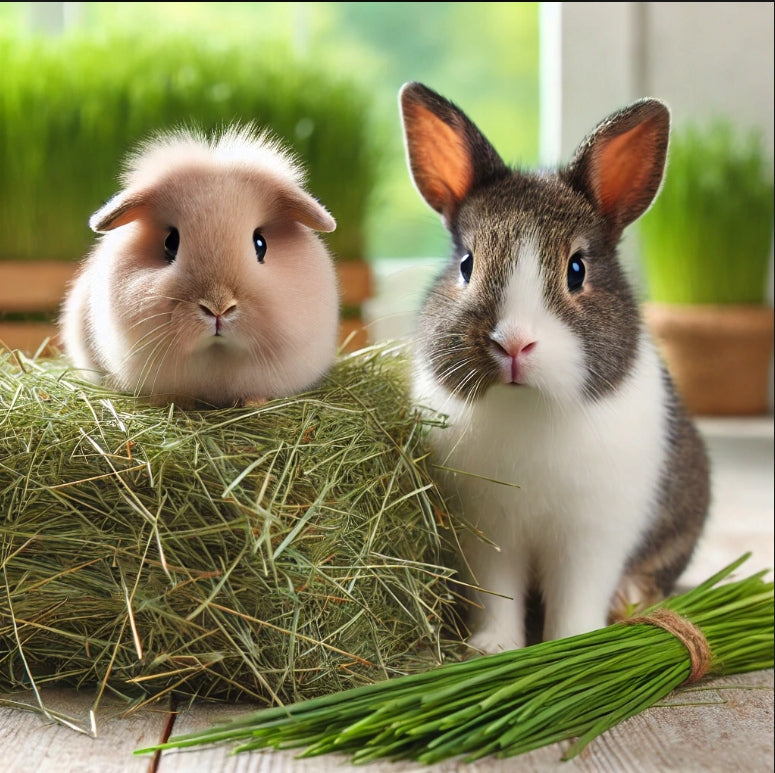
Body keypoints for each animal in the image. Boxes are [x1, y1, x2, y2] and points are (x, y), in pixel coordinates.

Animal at [399, 81, 710, 652]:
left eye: (577, 269)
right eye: (467, 265)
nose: (514, 344)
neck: (527, 407)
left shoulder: (592, 536)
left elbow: (577, 597)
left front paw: (572, 644)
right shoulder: (488, 535)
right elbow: (498, 595)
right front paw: (492, 648)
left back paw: (631, 598)